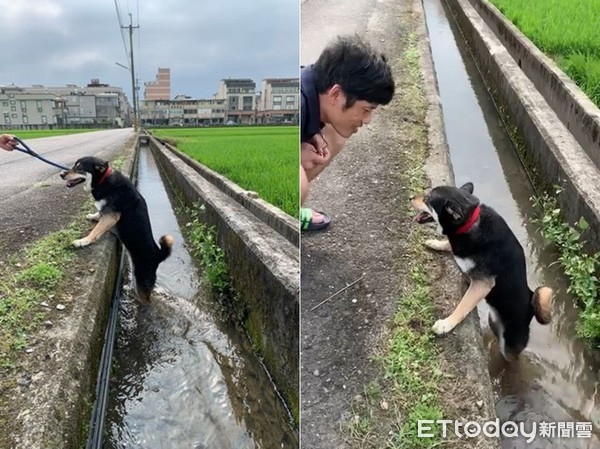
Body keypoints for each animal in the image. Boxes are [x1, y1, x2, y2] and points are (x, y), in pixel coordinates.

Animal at [60, 156, 173, 300]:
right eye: (74, 165)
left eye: (79, 168)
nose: (61, 174)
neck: (103, 180)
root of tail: (158, 254)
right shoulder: (106, 212)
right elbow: (99, 212)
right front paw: (93, 216)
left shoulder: (112, 215)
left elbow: (96, 231)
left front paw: (83, 241)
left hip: (143, 279)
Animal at [410, 180, 552, 358]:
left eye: (428, 199)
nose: (410, 197)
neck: (470, 223)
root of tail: (531, 306)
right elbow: (449, 246)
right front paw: (437, 243)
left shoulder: (483, 284)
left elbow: (463, 306)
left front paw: (446, 324)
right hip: (493, 321)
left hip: (511, 345)